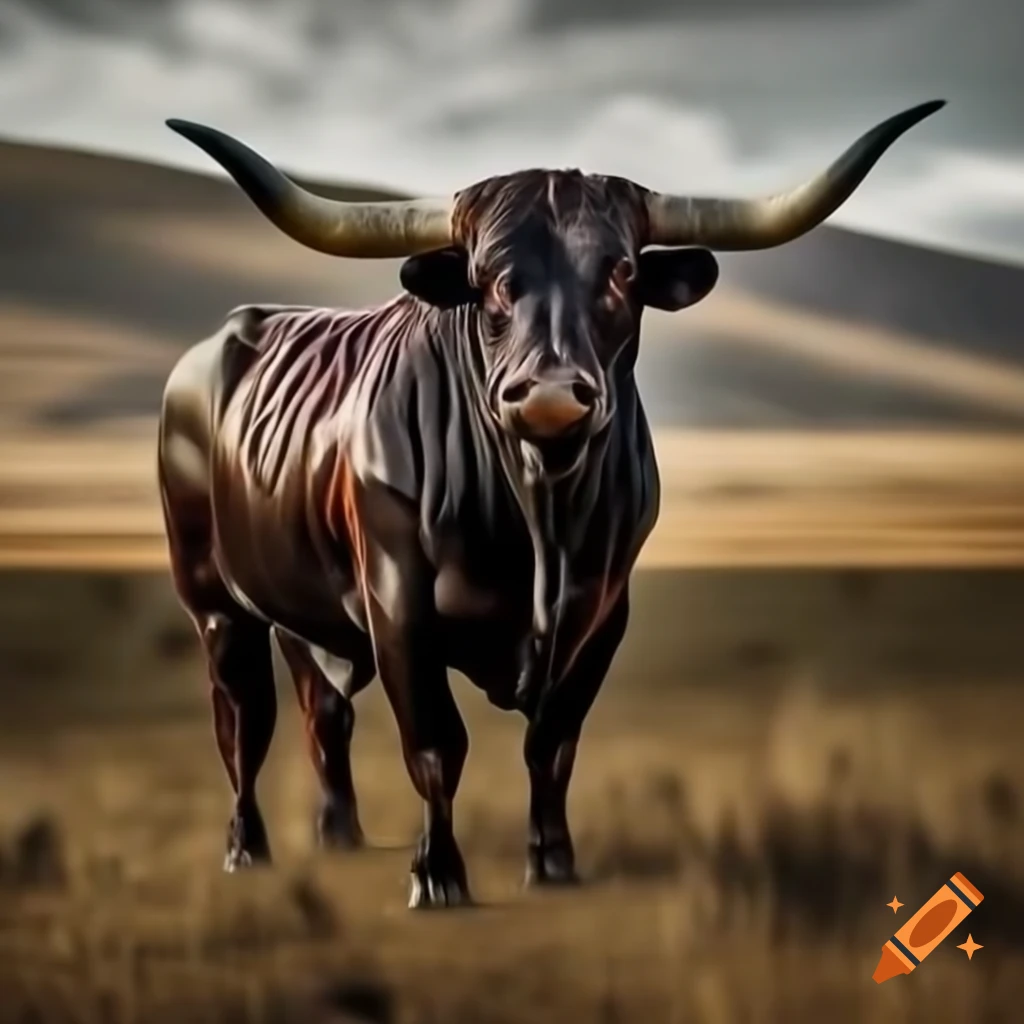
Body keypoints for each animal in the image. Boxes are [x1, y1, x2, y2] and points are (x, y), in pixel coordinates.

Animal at [158, 100, 943, 908]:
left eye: (621, 271)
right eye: (490, 281)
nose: (551, 396)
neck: (542, 520)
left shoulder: (601, 611)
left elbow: (553, 744)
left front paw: (553, 862)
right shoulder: (400, 606)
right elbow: (436, 744)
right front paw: (437, 875)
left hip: (302, 612)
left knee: (324, 711)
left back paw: (337, 834)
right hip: (216, 603)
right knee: (243, 720)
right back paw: (247, 848)